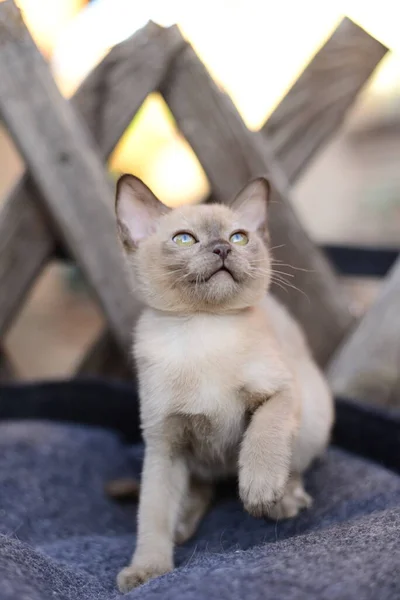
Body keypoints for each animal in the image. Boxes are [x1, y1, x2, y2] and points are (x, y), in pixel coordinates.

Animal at [113, 176, 334, 592]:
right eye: (185, 239)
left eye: (239, 237)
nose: (222, 248)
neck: (203, 329)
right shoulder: (164, 444)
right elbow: (152, 513)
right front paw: (148, 571)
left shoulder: (280, 392)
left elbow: (263, 436)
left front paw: (258, 490)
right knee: (200, 488)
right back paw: (183, 525)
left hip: (314, 415)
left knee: (292, 465)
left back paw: (283, 500)